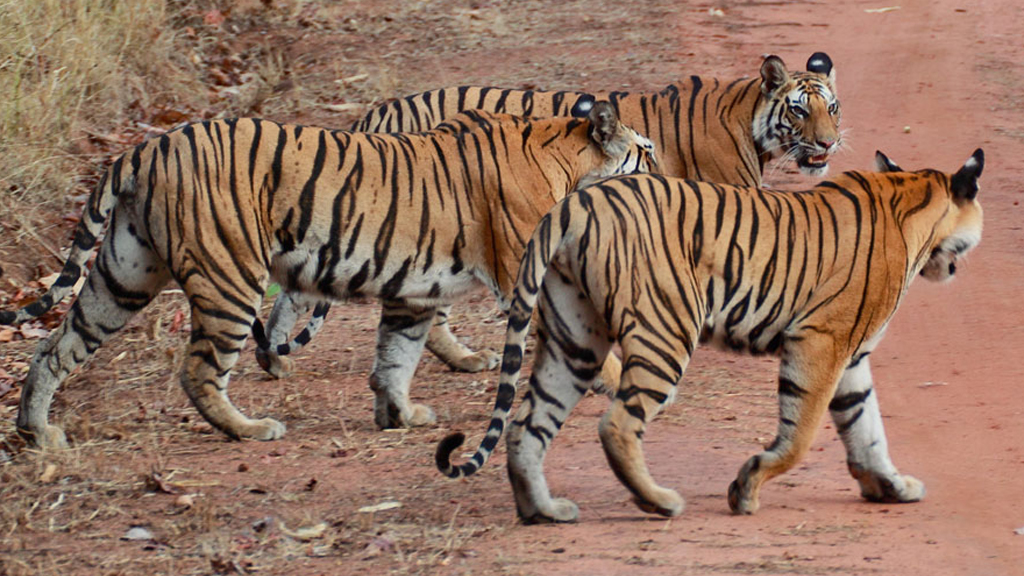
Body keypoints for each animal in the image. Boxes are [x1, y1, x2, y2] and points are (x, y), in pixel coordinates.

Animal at [0, 100, 655, 446]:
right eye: (644, 151)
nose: (663, 169)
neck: (562, 154)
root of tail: (145, 148)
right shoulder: (525, 277)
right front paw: (623, 385)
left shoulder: (414, 293)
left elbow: (396, 357)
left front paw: (400, 415)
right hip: (230, 277)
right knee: (200, 370)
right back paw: (251, 428)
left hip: (125, 274)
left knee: (55, 348)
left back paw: (37, 432)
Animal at [251, 50, 843, 389]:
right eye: (799, 110)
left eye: (831, 107)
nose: (829, 144)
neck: (749, 120)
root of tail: (377, 111)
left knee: (298, 293)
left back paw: (275, 362)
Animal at [436, 147, 987, 520]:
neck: (911, 200)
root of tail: (576, 202)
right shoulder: (822, 341)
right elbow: (802, 434)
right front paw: (747, 489)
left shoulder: (850, 357)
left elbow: (867, 427)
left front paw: (890, 486)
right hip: (666, 330)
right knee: (617, 423)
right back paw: (659, 501)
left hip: (575, 338)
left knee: (527, 423)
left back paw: (544, 510)